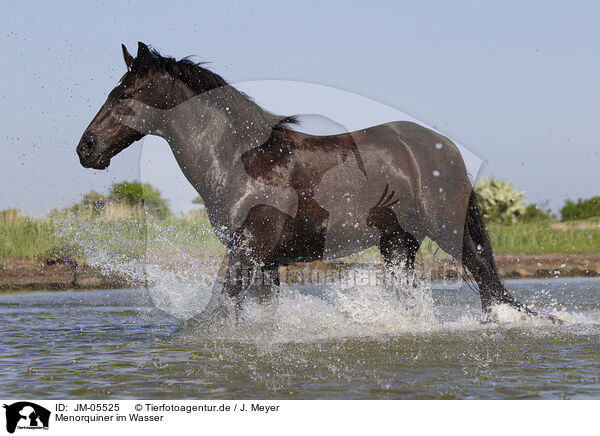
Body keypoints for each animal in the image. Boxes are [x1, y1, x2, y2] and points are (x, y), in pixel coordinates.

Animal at [75, 42, 544, 318]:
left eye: (123, 94)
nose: (86, 148)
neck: (240, 160)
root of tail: (443, 147)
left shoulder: (249, 250)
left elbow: (221, 306)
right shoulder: (265, 261)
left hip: (448, 230)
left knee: (483, 276)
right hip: (397, 244)